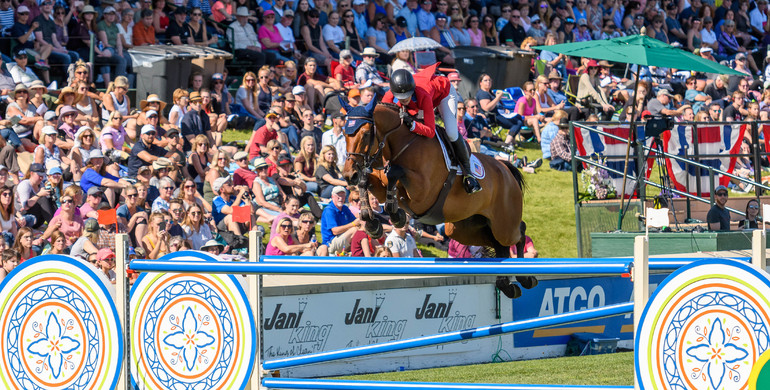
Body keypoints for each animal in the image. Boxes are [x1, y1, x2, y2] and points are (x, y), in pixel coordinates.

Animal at [340, 98, 536, 298]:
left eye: (365, 134)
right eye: (345, 134)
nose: (348, 175)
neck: (400, 144)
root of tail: (505, 169)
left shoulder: (422, 193)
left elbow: (393, 172)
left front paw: (395, 215)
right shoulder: (381, 187)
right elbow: (366, 181)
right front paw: (372, 222)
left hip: (504, 225)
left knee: (519, 233)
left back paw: (526, 278)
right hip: (463, 230)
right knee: (499, 246)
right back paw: (507, 284)